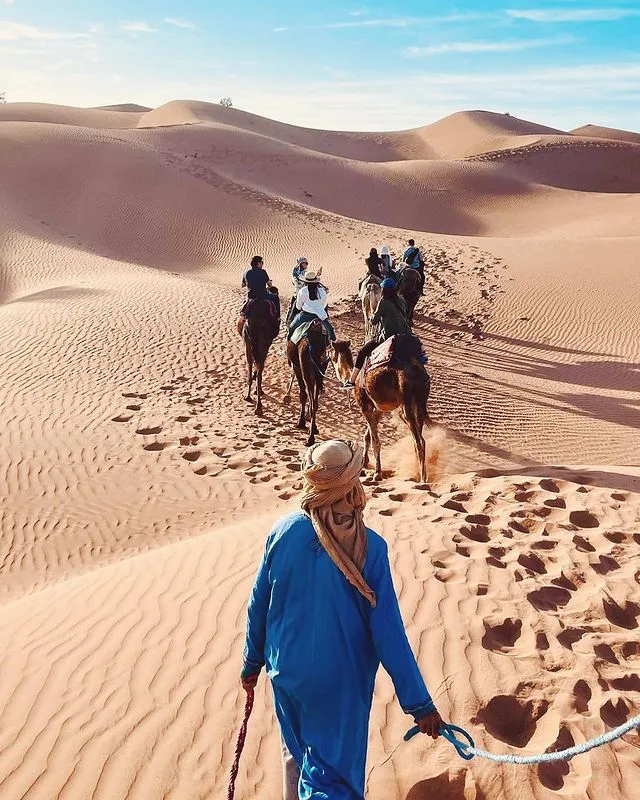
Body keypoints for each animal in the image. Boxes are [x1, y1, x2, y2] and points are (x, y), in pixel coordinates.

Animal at [330, 336, 430, 482]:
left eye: (330, 348)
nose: (326, 355)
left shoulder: (364, 406)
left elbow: (375, 441)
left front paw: (377, 473)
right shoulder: (378, 410)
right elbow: (367, 436)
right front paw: (364, 463)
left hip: (405, 405)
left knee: (419, 441)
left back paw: (423, 479)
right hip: (419, 402)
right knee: (420, 436)